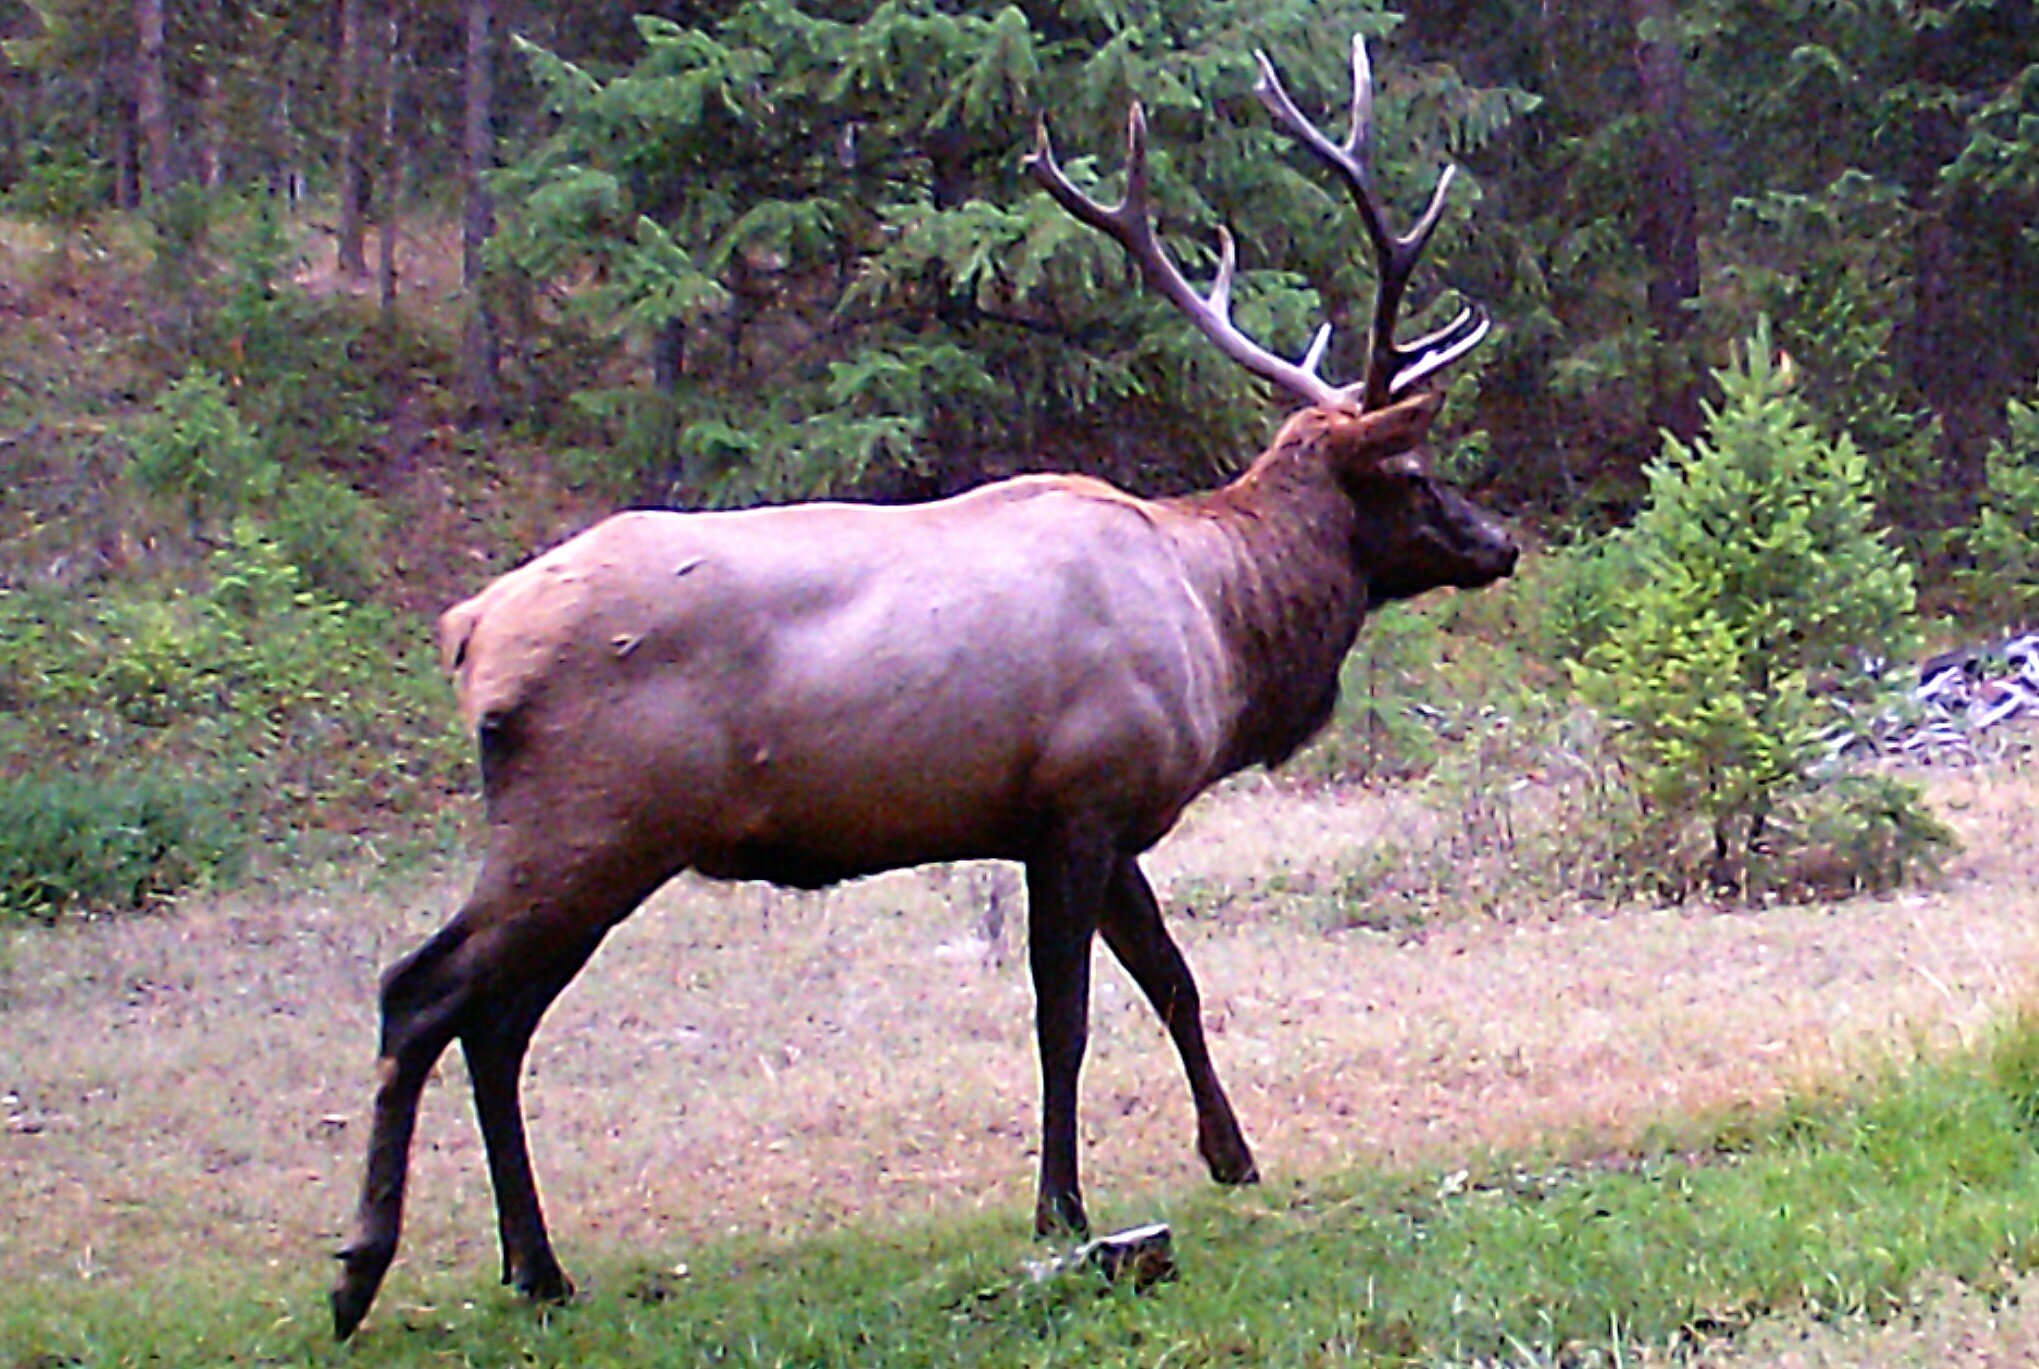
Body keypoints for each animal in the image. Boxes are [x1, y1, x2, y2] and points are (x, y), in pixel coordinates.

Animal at [330, 32, 1517, 1338]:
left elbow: (1173, 981)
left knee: (492, 1021)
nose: (1500, 541)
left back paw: (534, 1267)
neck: (1219, 636)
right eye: (1414, 472)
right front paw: (1061, 1205)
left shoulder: (1094, 820)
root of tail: (469, 631)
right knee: (424, 992)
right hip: (594, 820)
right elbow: (1065, 1014)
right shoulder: (1077, 802)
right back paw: (367, 1267)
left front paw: (1232, 1154)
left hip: (584, 836)